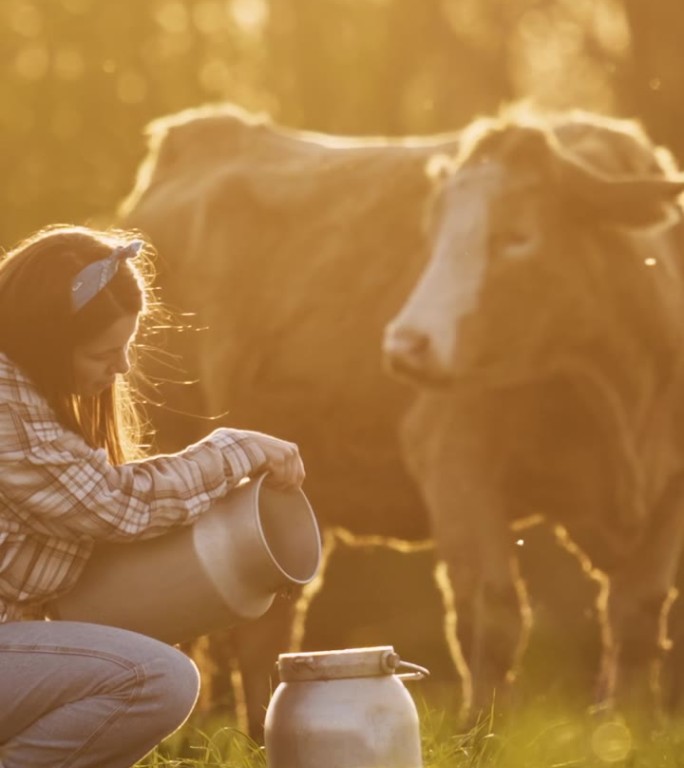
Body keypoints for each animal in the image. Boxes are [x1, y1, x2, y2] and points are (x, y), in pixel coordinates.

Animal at [382, 109, 684, 720]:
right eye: (433, 236)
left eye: (517, 237)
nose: (405, 345)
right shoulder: (452, 454)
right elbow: (490, 614)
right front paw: (480, 729)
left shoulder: (673, 488)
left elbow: (638, 616)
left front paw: (627, 726)